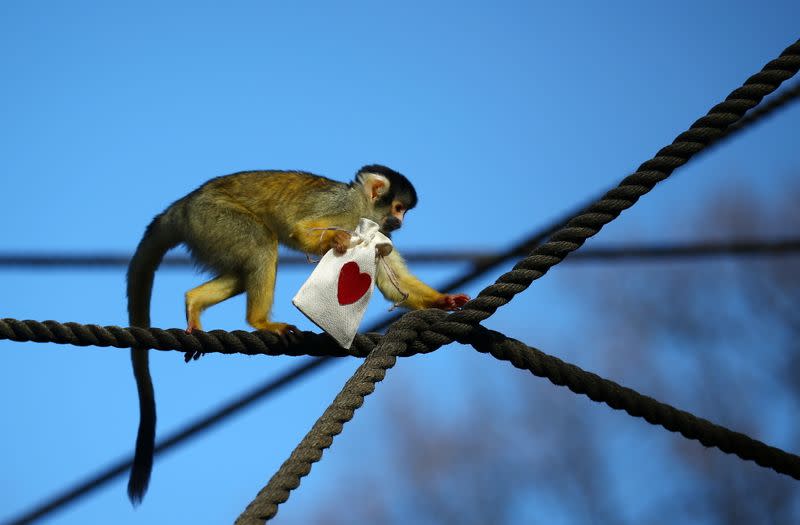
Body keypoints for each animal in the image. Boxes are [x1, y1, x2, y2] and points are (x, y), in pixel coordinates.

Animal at [125, 165, 468, 504]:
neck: (362, 209)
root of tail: (183, 205)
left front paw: (443, 301)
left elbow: (389, 279)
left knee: (244, 267)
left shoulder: (379, 235)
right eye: (398, 208)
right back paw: (259, 321)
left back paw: (194, 302)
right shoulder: (344, 208)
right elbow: (298, 229)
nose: (400, 222)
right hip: (211, 217)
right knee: (263, 242)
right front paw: (336, 239)